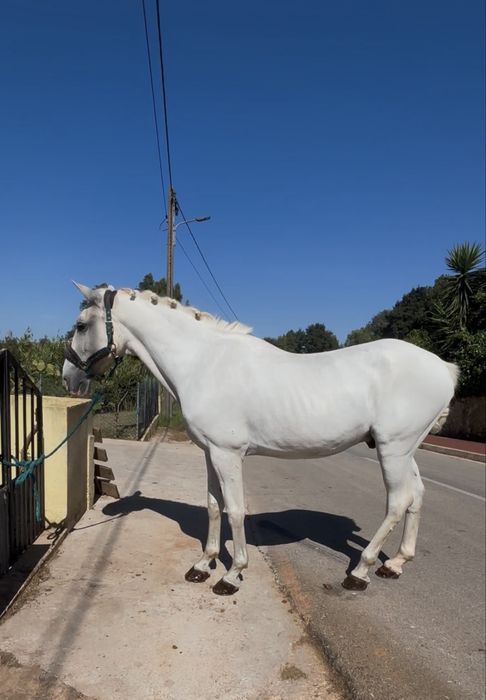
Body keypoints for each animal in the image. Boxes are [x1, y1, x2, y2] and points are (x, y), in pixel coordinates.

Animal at [62, 283, 458, 595]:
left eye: (81, 326)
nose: (68, 378)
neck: (204, 362)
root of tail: (444, 368)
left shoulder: (228, 454)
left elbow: (236, 510)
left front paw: (232, 574)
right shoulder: (210, 453)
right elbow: (213, 506)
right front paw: (203, 565)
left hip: (394, 449)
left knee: (398, 502)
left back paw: (361, 572)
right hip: (406, 450)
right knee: (417, 494)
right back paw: (396, 563)